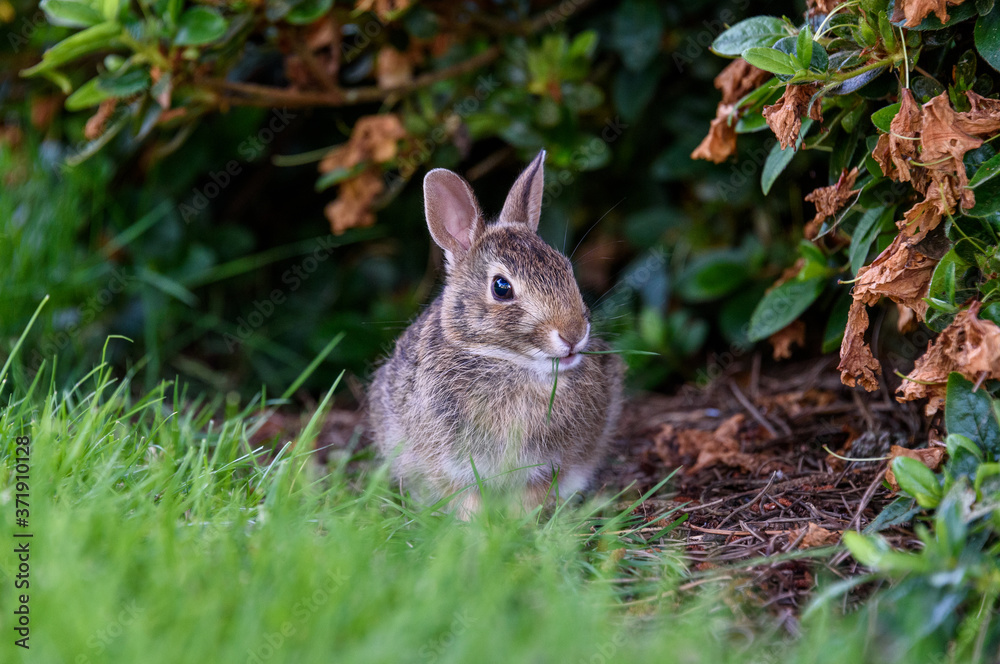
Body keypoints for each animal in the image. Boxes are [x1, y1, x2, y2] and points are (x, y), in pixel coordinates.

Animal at [369, 150, 624, 518]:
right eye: (501, 287)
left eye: (566, 269)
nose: (574, 334)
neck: (510, 362)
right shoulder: (451, 464)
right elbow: (465, 496)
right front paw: (479, 524)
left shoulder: (550, 465)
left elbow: (533, 494)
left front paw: (519, 523)